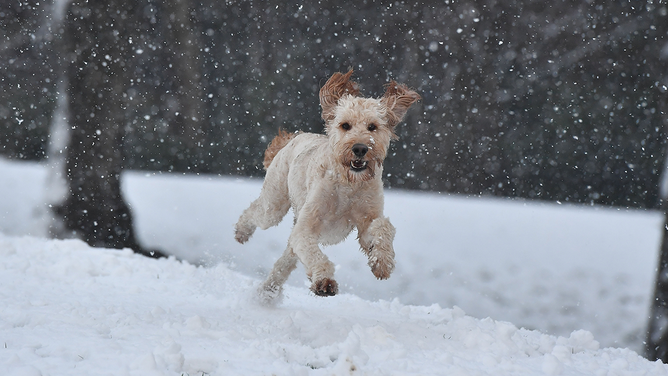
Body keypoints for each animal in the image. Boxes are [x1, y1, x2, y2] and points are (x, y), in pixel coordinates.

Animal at [235, 69, 420, 302]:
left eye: (373, 127)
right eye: (345, 125)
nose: (360, 148)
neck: (349, 185)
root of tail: (296, 136)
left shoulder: (366, 220)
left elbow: (382, 227)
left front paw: (382, 262)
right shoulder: (306, 227)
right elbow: (315, 254)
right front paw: (324, 281)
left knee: (285, 261)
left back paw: (268, 291)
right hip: (274, 204)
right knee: (256, 213)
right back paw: (241, 232)